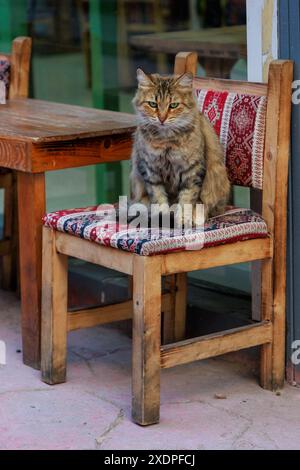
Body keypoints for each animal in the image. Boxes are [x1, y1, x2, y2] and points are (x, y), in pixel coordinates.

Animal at [130, 67, 231, 226]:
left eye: (173, 105)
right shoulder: (149, 169)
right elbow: (158, 198)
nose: (162, 119)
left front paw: (183, 220)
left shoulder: (192, 170)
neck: (166, 141)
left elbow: (187, 199)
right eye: (153, 104)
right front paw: (163, 219)